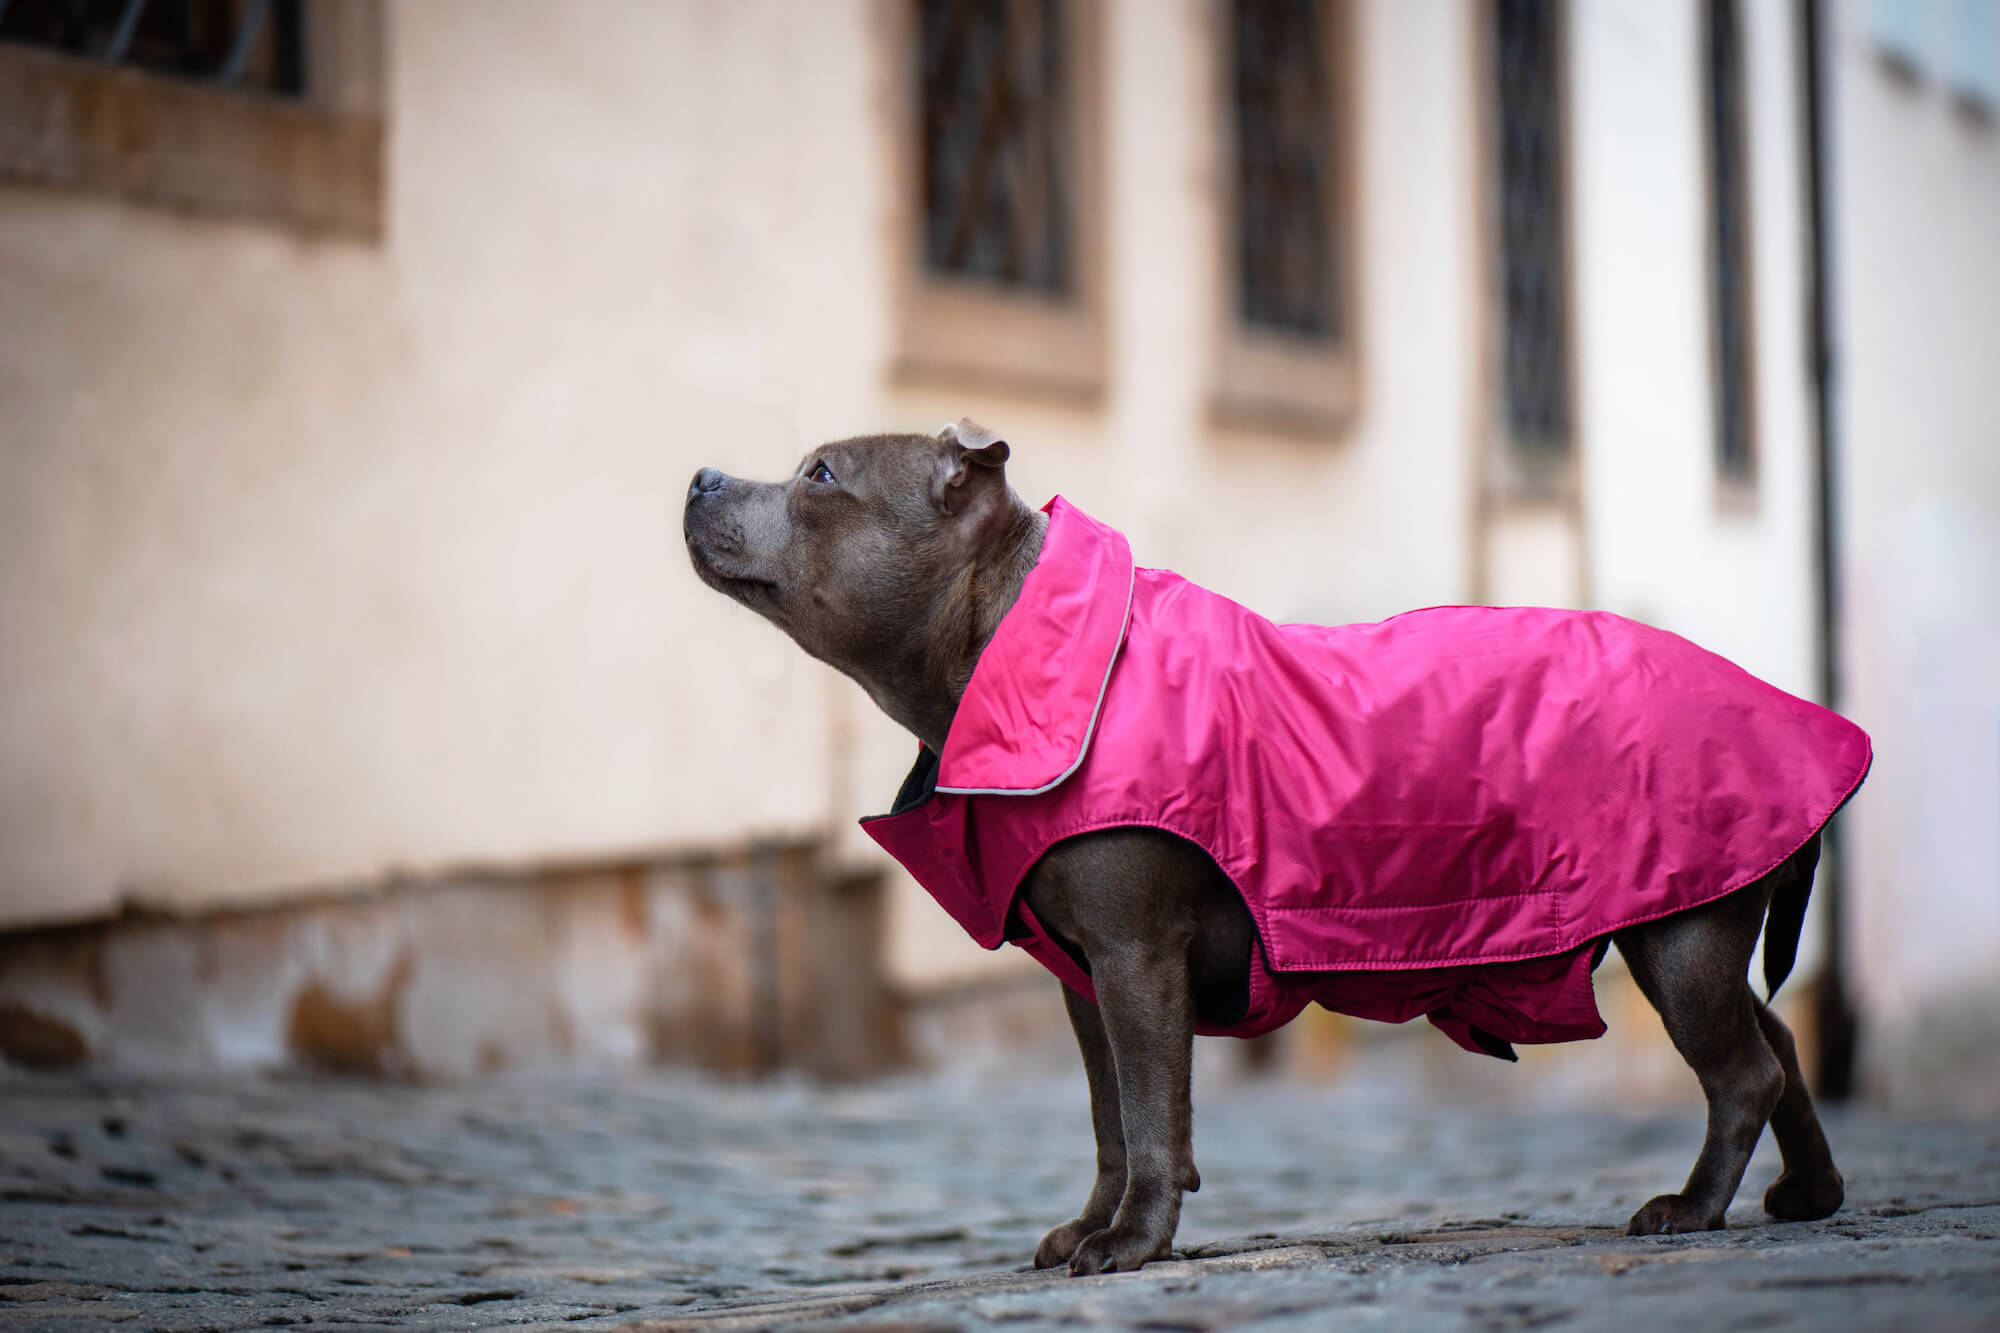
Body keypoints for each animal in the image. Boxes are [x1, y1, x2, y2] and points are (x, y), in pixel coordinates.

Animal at [688, 420, 1872, 1272]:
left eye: (821, 474)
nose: (700, 474)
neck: (1022, 646)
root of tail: (1783, 705)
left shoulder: (1135, 957)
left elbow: (1150, 1109)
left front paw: (1133, 1243)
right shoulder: (1082, 977)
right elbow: (1107, 1114)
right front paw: (1091, 1225)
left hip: (1676, 930)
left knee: (1741, 1071)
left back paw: (1692, 1207)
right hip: (1694, 920)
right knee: (1777, 1040)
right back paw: (1808, 1194)